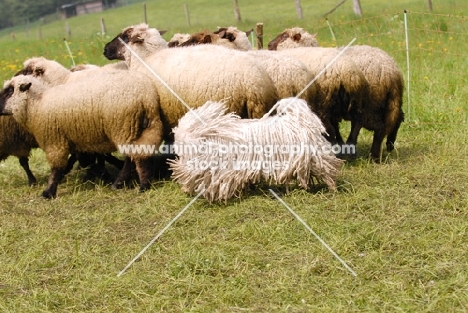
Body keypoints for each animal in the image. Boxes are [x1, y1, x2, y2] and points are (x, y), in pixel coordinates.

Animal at [0, 73, 165, 197]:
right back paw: (131, 183)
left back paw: (135, 185)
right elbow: (79, 162)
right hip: (149, 128)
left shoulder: (55, 140)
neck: (38, 103)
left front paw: (48, 192)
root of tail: (145, 97)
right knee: (138, 155)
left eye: (9, 91)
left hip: (123, 127)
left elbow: (56, 168)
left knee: (132, 157)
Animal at [268, 27, 404, 160]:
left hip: (368, 104)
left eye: (284, 36)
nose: (269, 45)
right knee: (394, 119)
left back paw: (372, 155)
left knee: (377, 128)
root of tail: (392, 72)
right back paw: (386, 145)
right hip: (381, 103)